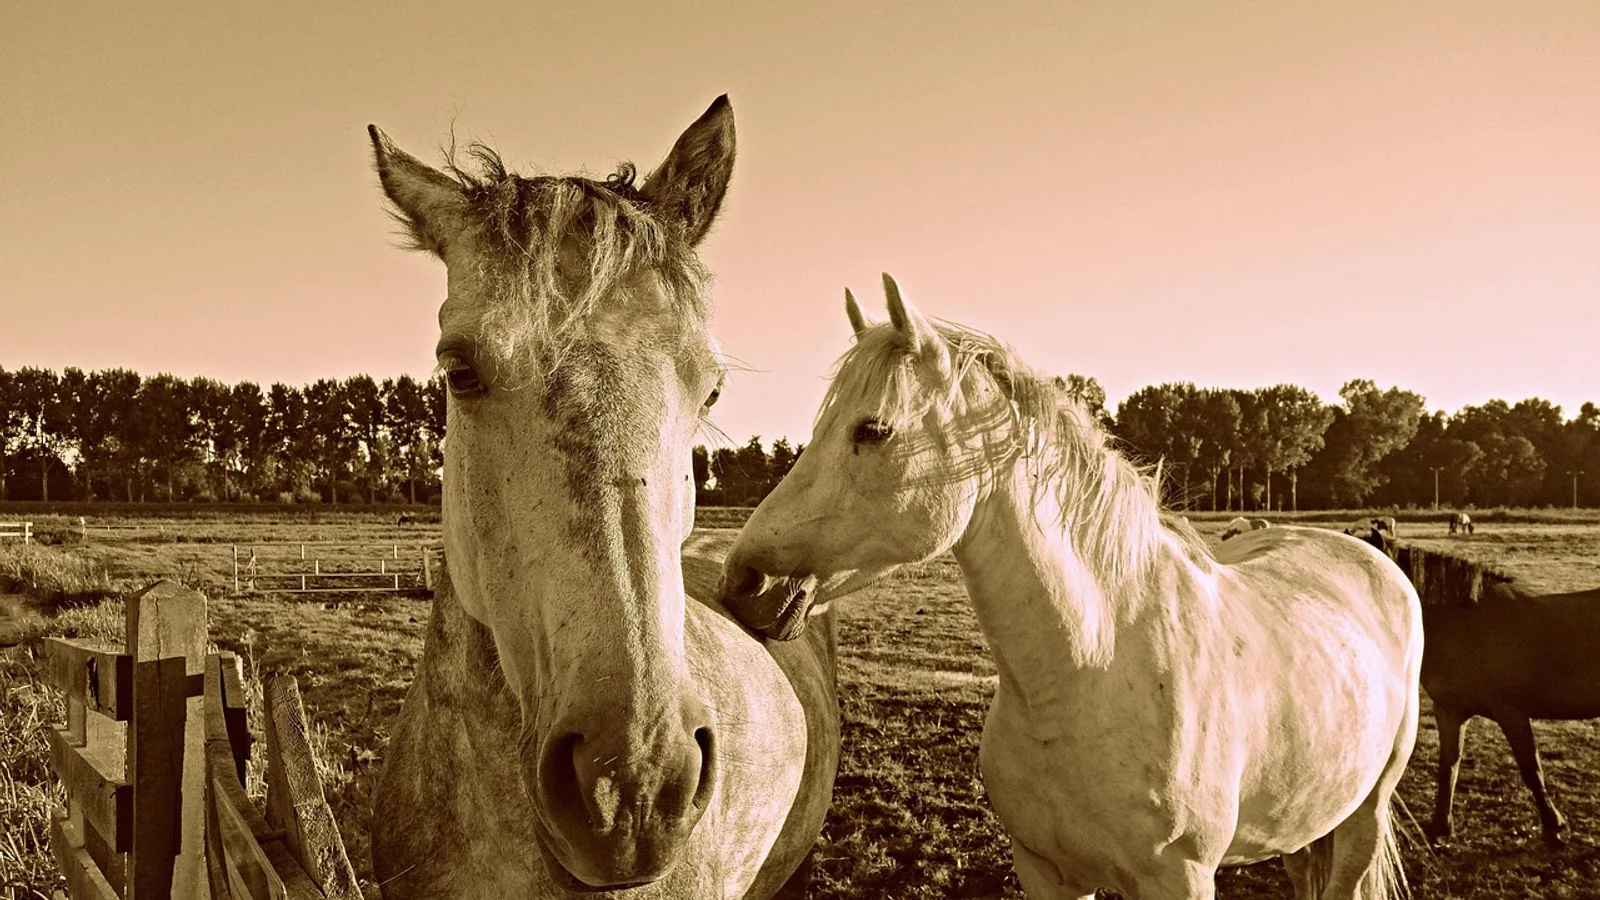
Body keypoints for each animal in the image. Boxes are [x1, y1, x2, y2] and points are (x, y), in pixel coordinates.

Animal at [718, 274, 1423, 900]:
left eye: (872, 429)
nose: (742, 580)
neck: (1094, 670)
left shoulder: (1181, 880)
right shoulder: (1047, 872)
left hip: (1365, 814)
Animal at [1393, 544, 1600, 847]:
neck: (1465, 624)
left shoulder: (1511, 714)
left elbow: (1531, 769)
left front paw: (1555, 827)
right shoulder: (1450, 712)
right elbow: (1448, 767)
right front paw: (1440, 828)